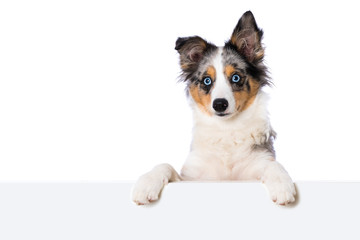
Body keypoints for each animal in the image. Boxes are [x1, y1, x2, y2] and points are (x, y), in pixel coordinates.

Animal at [132, 11, 296, 205]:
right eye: (207, 80)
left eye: (235, 77)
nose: (219, 104)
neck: (226, 129)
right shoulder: (192, 178)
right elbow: (165, 165)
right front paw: (146, 183)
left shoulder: (258, 165)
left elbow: (273, 165)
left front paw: (282, 184)